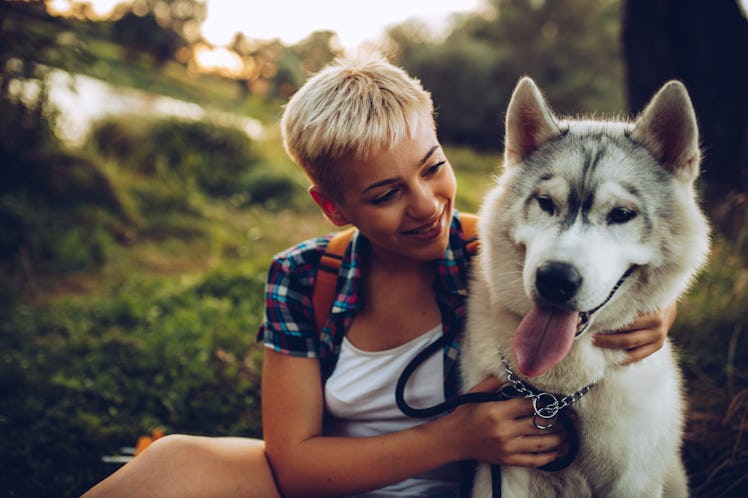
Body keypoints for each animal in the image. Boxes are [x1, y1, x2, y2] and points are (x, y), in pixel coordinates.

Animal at [462, 79, 712, 498]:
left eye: (621, 214)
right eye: (546, 203)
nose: (554, 279)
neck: (554, 398)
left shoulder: (632, 480)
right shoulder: (506, 472)